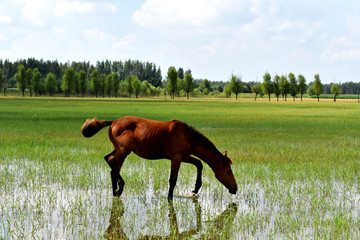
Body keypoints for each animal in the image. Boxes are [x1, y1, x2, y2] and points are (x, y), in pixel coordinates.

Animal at [82, 116, 238, 201]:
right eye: (229, 171)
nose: (235, 188)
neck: (188, 136)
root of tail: (113, 122)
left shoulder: (184, 156)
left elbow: (199, 164)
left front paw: (195, 188)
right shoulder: (176, 158)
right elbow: (173, 180)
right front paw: (170, 199)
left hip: (122, 152)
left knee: (112, 165)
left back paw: (116, 192)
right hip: (124, 151)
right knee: (110, 161)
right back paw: (120, 187)